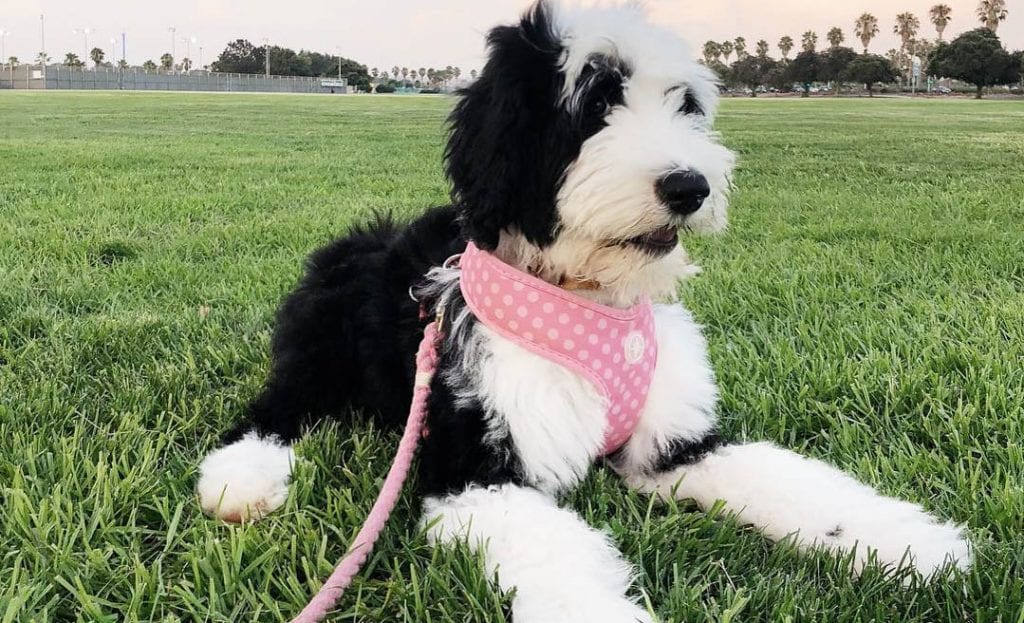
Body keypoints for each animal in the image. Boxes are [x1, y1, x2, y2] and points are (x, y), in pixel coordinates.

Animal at [195, 2, 970, 618]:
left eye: (685, 106)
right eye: (595, 102)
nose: (690, 186)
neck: (591, 300)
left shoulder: (672, 444)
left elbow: (790, 478)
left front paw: (912, 543)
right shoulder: (476, 465)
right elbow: (559, 554)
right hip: (320, 347)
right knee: (281, 403)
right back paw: (241, 478)